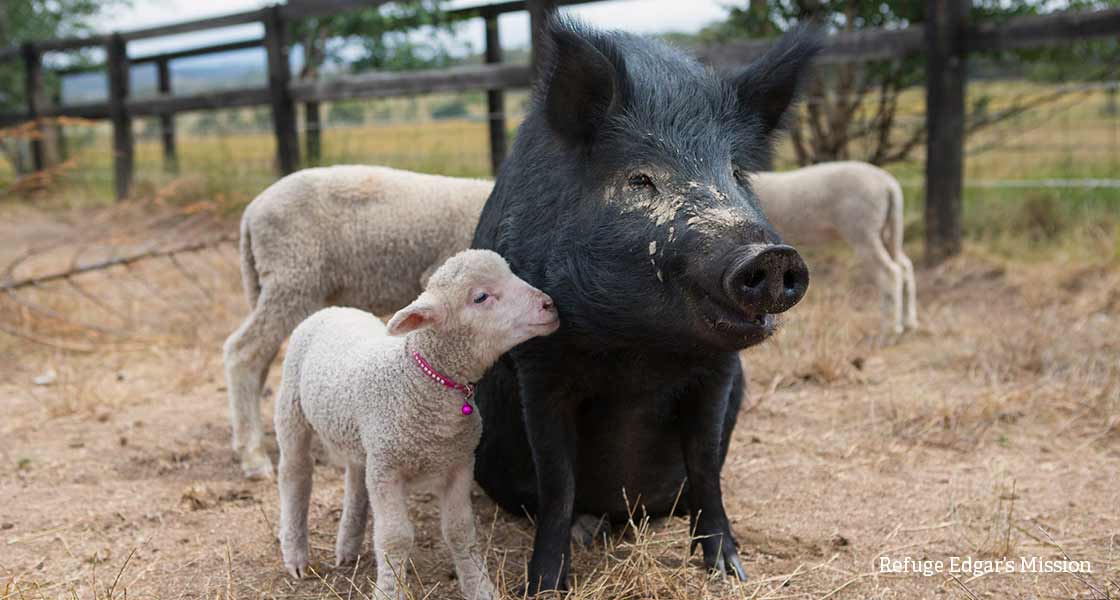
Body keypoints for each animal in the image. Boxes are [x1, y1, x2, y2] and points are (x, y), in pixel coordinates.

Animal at [225, 164, 492, 479]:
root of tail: (251, 212)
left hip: (267, 284)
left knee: (261, 358)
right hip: (293, 277)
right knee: (244, 353)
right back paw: (253, 456)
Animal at [267, 248, 555, 600]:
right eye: (480, 297)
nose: (549, 305)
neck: (417, 378)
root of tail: (334, 309)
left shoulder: (459, 464)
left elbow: (461, 531)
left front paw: (480, 587)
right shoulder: (387, 471)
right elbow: (395, 537)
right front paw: (390, 591)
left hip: (361, 438)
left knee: (355, 476)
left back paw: (347, 547)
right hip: (291, 408)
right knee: (295, 475)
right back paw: (296, 554)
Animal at [472, 16, 824, 591]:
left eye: (736, 174)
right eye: (640, 178)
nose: (771, 256)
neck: (641, 354)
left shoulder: (719, 371)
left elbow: (705, 465)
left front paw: (731, 572)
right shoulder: (538, 367)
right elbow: (558, 481)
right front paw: (544, 586)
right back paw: (590, 530)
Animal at [752, 161, 918, 335]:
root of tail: (889, 184)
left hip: (863, 230)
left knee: (889, 272)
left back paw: (889, 329)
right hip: (886, 231)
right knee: (905, 266)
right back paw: (908, 323)